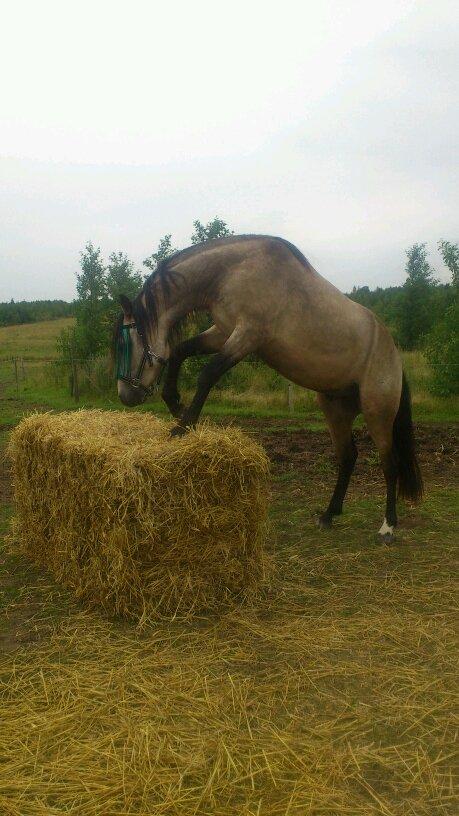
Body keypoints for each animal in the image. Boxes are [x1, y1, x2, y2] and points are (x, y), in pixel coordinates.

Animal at [114, 236, 424, 540]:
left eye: (126, 343)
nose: (125, 396)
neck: (233, 271)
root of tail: (395, 357)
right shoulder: (222, 332)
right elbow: (180, 351)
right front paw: (175, 403)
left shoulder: (247, 335)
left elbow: (208, 373)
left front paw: (183, 426)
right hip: (335, 411)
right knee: (348, 457)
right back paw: (328, 515)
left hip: (377, 414)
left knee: (390, 463)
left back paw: (388, 526)